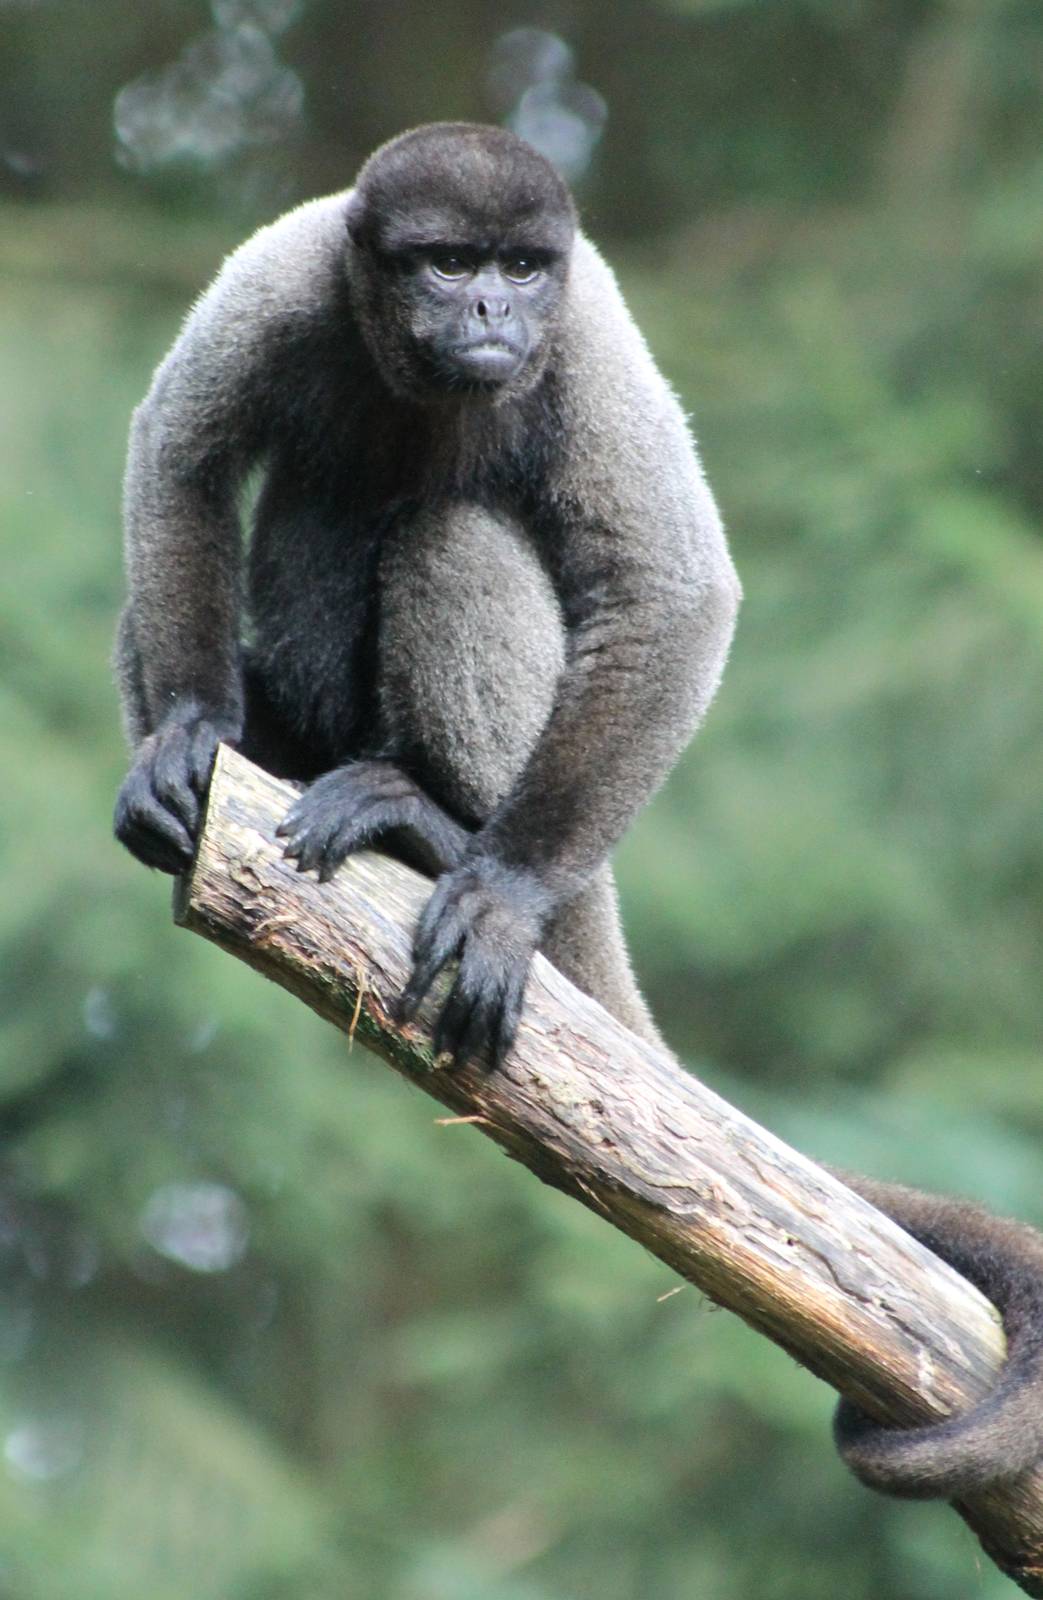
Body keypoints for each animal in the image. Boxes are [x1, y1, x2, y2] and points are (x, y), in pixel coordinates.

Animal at [113, 122, 1043, 1503]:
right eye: (447, 264)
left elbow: (670, 591)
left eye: (516, 269)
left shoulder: (592, 330)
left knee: (453, 539)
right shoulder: (283, 276)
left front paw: (498, 894)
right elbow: (180, 456)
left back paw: (440, 830)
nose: (492, 311)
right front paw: (182, 735)